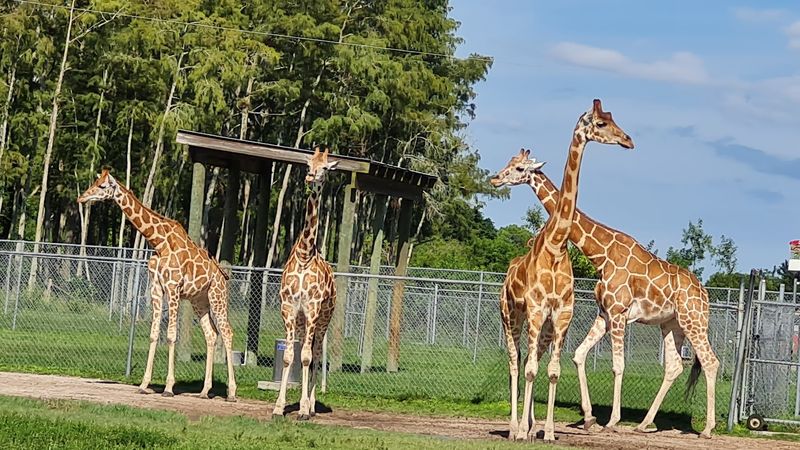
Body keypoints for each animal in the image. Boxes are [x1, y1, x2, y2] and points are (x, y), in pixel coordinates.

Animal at [77, 169, 237, 401]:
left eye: (102, 186)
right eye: (96, 182)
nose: (81, 198)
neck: (159, 243)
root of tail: (223, 276)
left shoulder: (173, 287)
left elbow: (171, 336)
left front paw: (169, 387)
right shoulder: (156, 288)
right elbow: (153, 334)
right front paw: (144, 384)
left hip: (217, 295)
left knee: (227, 332)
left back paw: (231, 392)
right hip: (199, 300)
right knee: (211, 334)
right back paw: (204, 391)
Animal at [490, 99, 634, 441]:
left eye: (610, 120)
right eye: (600, 123)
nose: (628, 140)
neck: (556, 246)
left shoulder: (562, 314)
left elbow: (552, 371)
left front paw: (548, 432)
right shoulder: (536, 309)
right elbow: (529, 369)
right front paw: (523, 432)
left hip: (541, 326)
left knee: (531, 361)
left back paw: (530, 427)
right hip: (510, 316)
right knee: (515, 362)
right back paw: (515, 428)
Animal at [491, 150, 719, 438]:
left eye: (519, 168)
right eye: (509, 164)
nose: (496, 178)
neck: (601, 255)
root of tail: (705, 294)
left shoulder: (619, 314)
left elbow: (618, 365)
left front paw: (612, 420)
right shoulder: (605, 314)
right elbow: (579, 355)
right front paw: (590, 418)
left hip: (694, 321)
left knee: (711, 362)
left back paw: (707, 429)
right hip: (671, 324)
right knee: (675, 365)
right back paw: (644, 424)